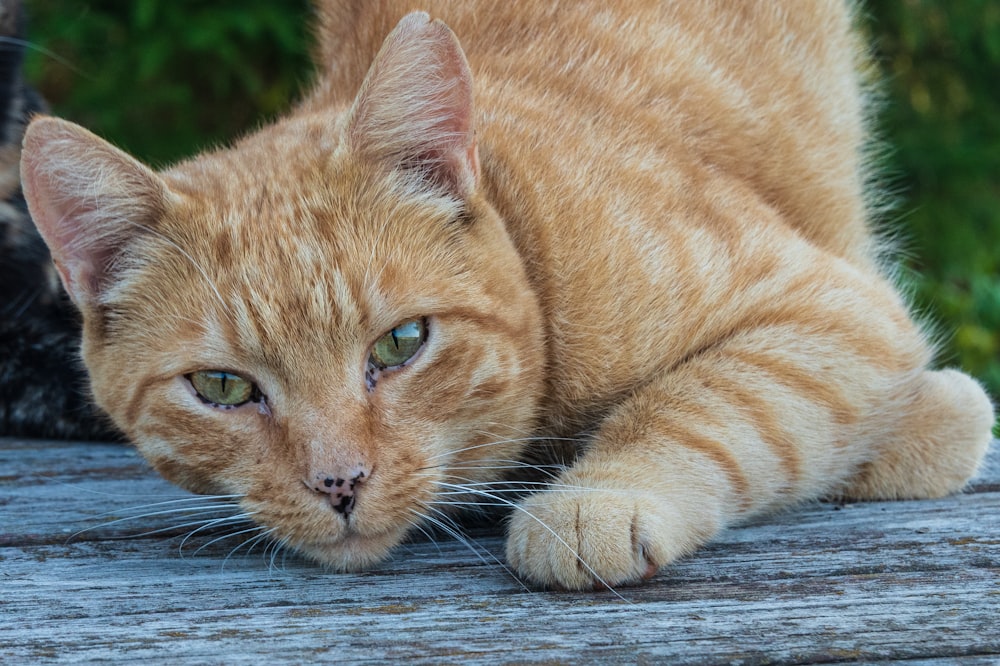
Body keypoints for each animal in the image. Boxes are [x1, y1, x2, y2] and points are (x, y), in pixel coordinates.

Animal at [19, 3, 996, 588]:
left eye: (401, 343)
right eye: (221, 388)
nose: (339, 482)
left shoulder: (835, 307)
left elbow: (703, 402)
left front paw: (594, 499)